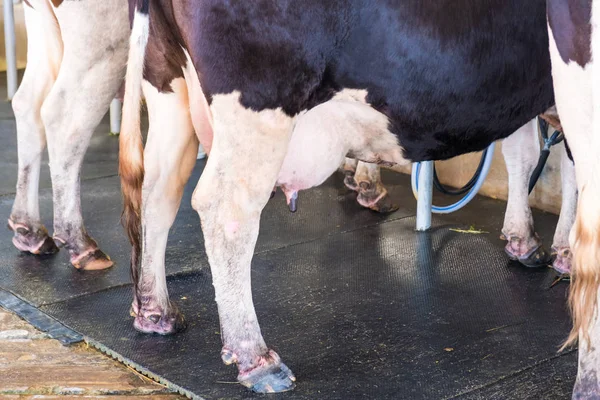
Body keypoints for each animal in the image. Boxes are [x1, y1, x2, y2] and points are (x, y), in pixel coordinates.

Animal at [7, 0, 130, 268]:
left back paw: (30, 232)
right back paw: (82, 245)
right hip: (105, 41)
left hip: (44, 30)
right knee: (65, 120)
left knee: (27, 104)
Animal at [119, 0, 588, 394]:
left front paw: (525, 241)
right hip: (259, 103)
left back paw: (156, 312)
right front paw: (564, 252)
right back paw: (256, 357)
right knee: (226, 209)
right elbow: (568, 169)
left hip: (167, 83)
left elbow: (525, 154)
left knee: (158, 190)